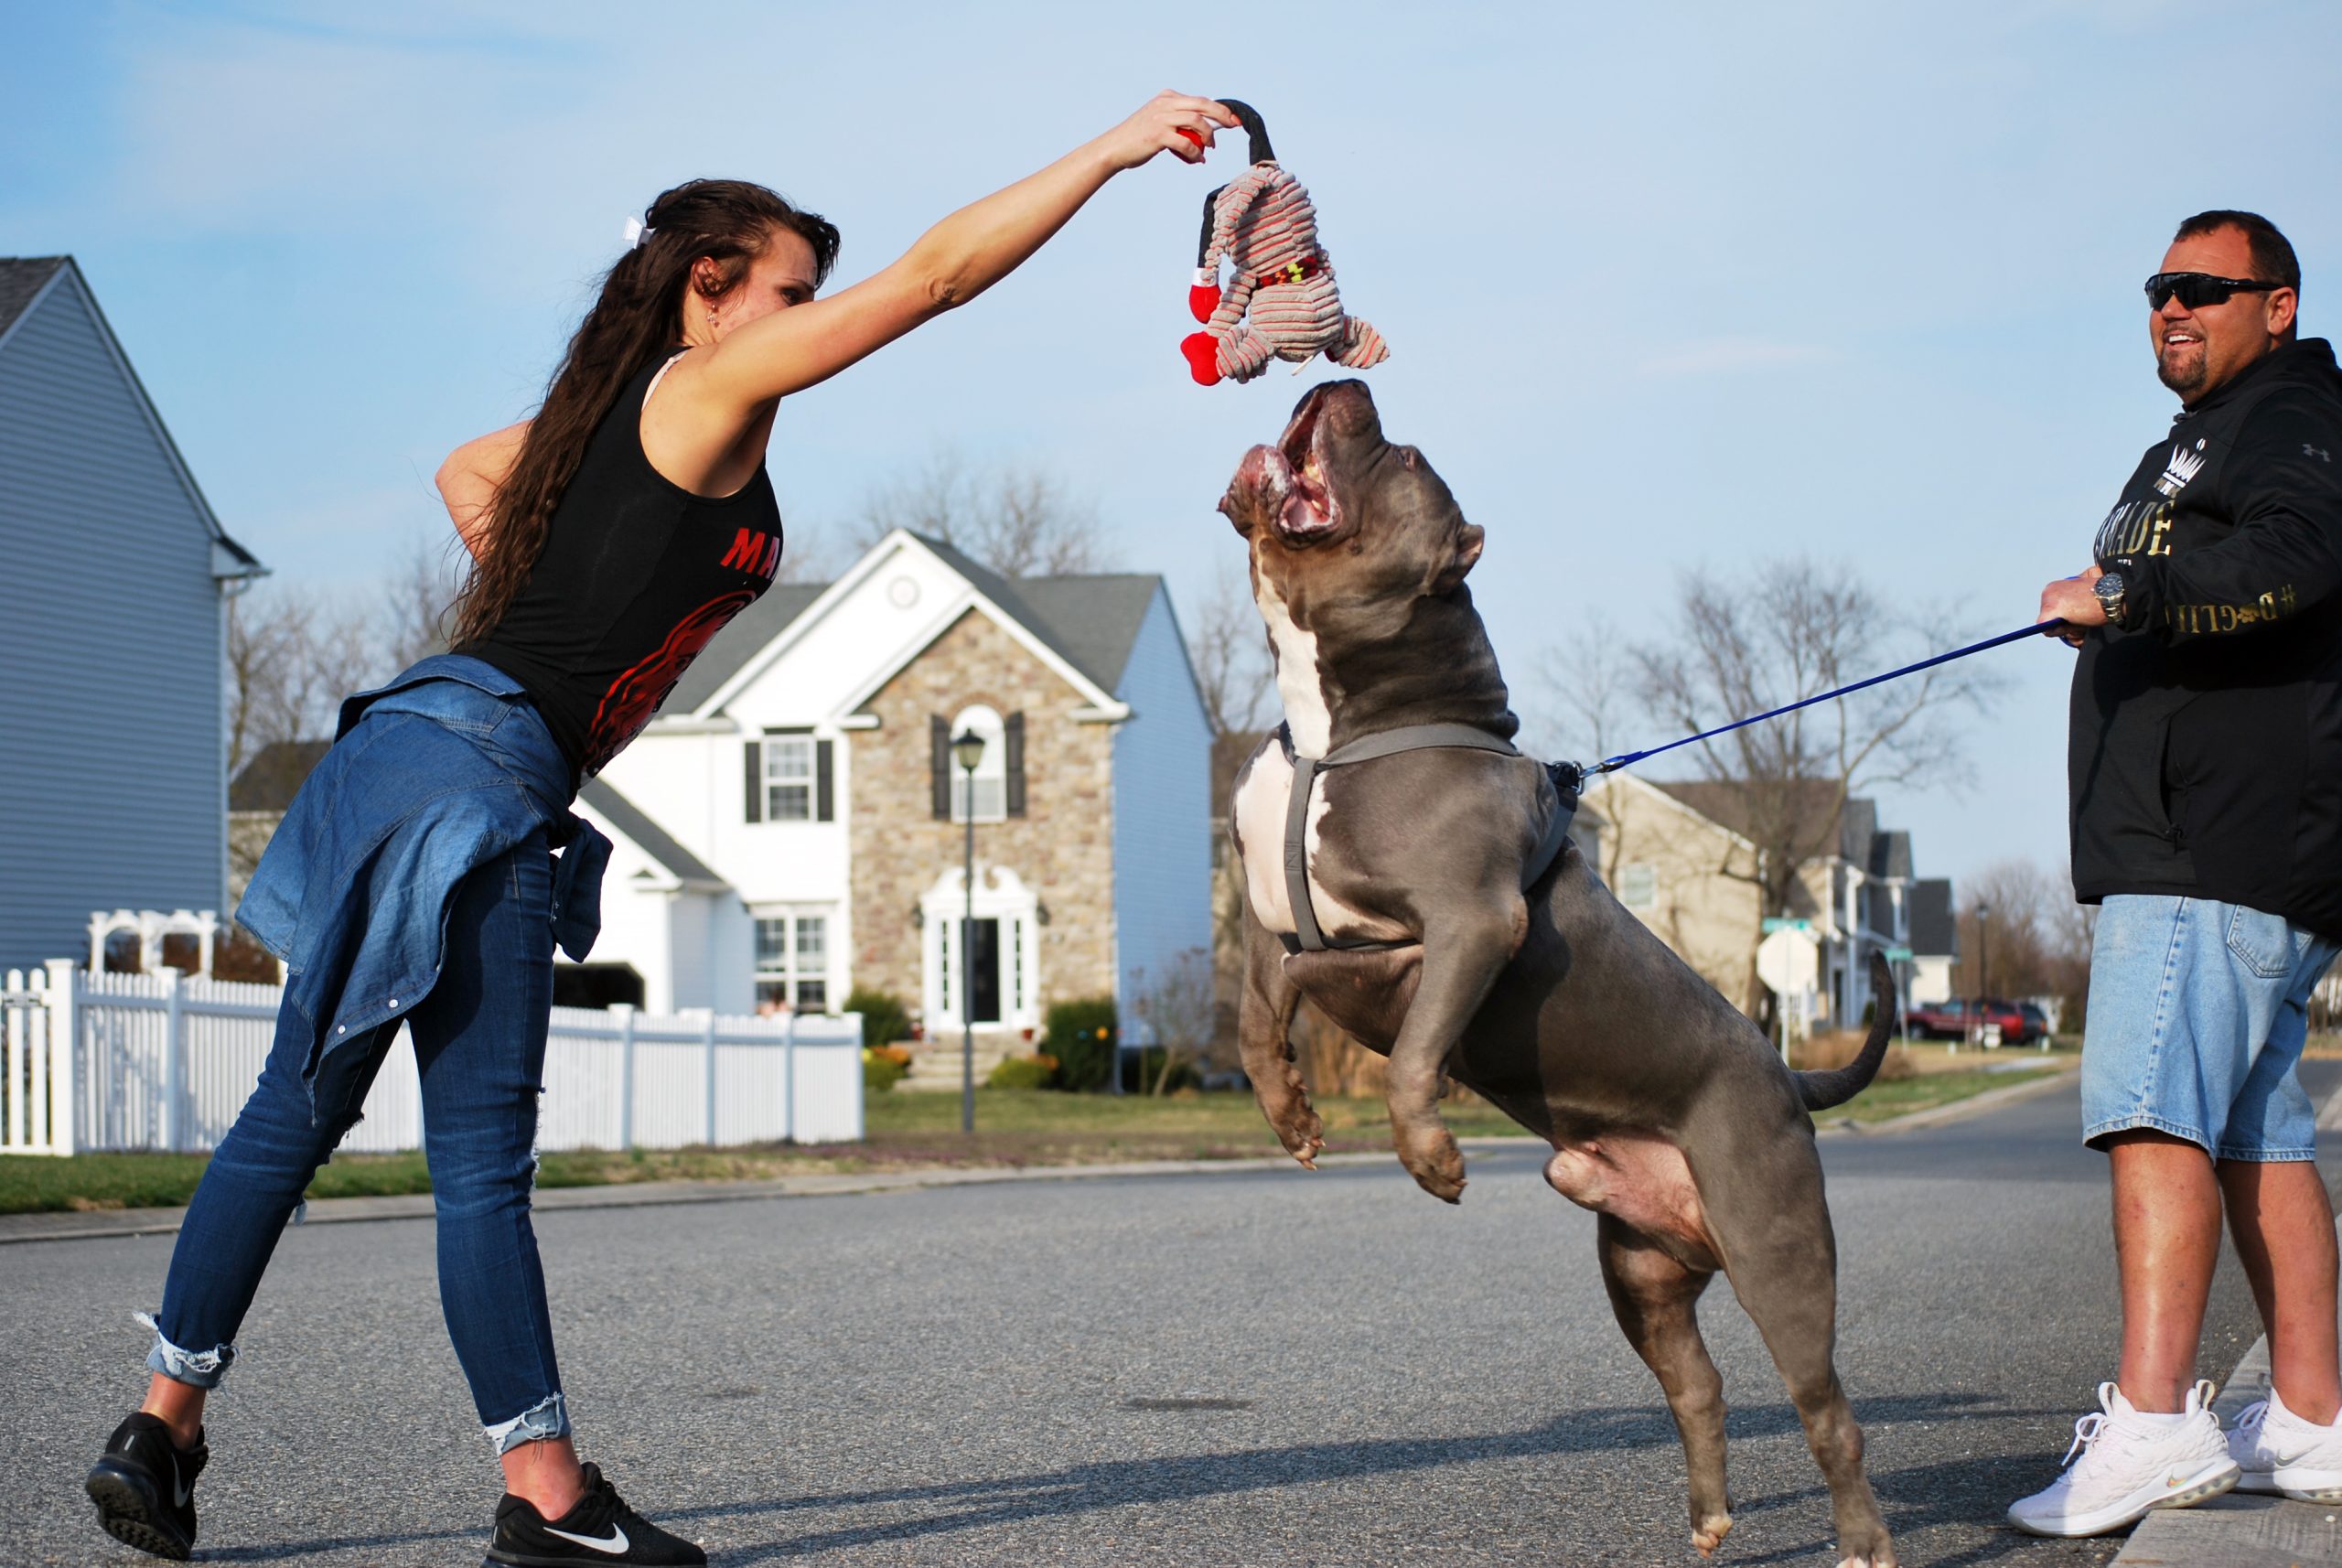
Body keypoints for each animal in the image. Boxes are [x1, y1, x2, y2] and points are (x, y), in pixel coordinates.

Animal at [1227, 381, 1901, 1568]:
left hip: (1776, 1248)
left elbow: (1408, 1053)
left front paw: (1431, 1156)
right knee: (1697, 1385)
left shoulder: (1462, 927)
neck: (1338, 723)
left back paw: (1862, 1538)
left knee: (1824, 1405)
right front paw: (1293, 1114)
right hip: (1637, 1269)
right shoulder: (1276, 919)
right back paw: (1709, 1517)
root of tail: (1787, 1074)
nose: (1345, 384)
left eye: (1402, 455)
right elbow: (1259, 1018)